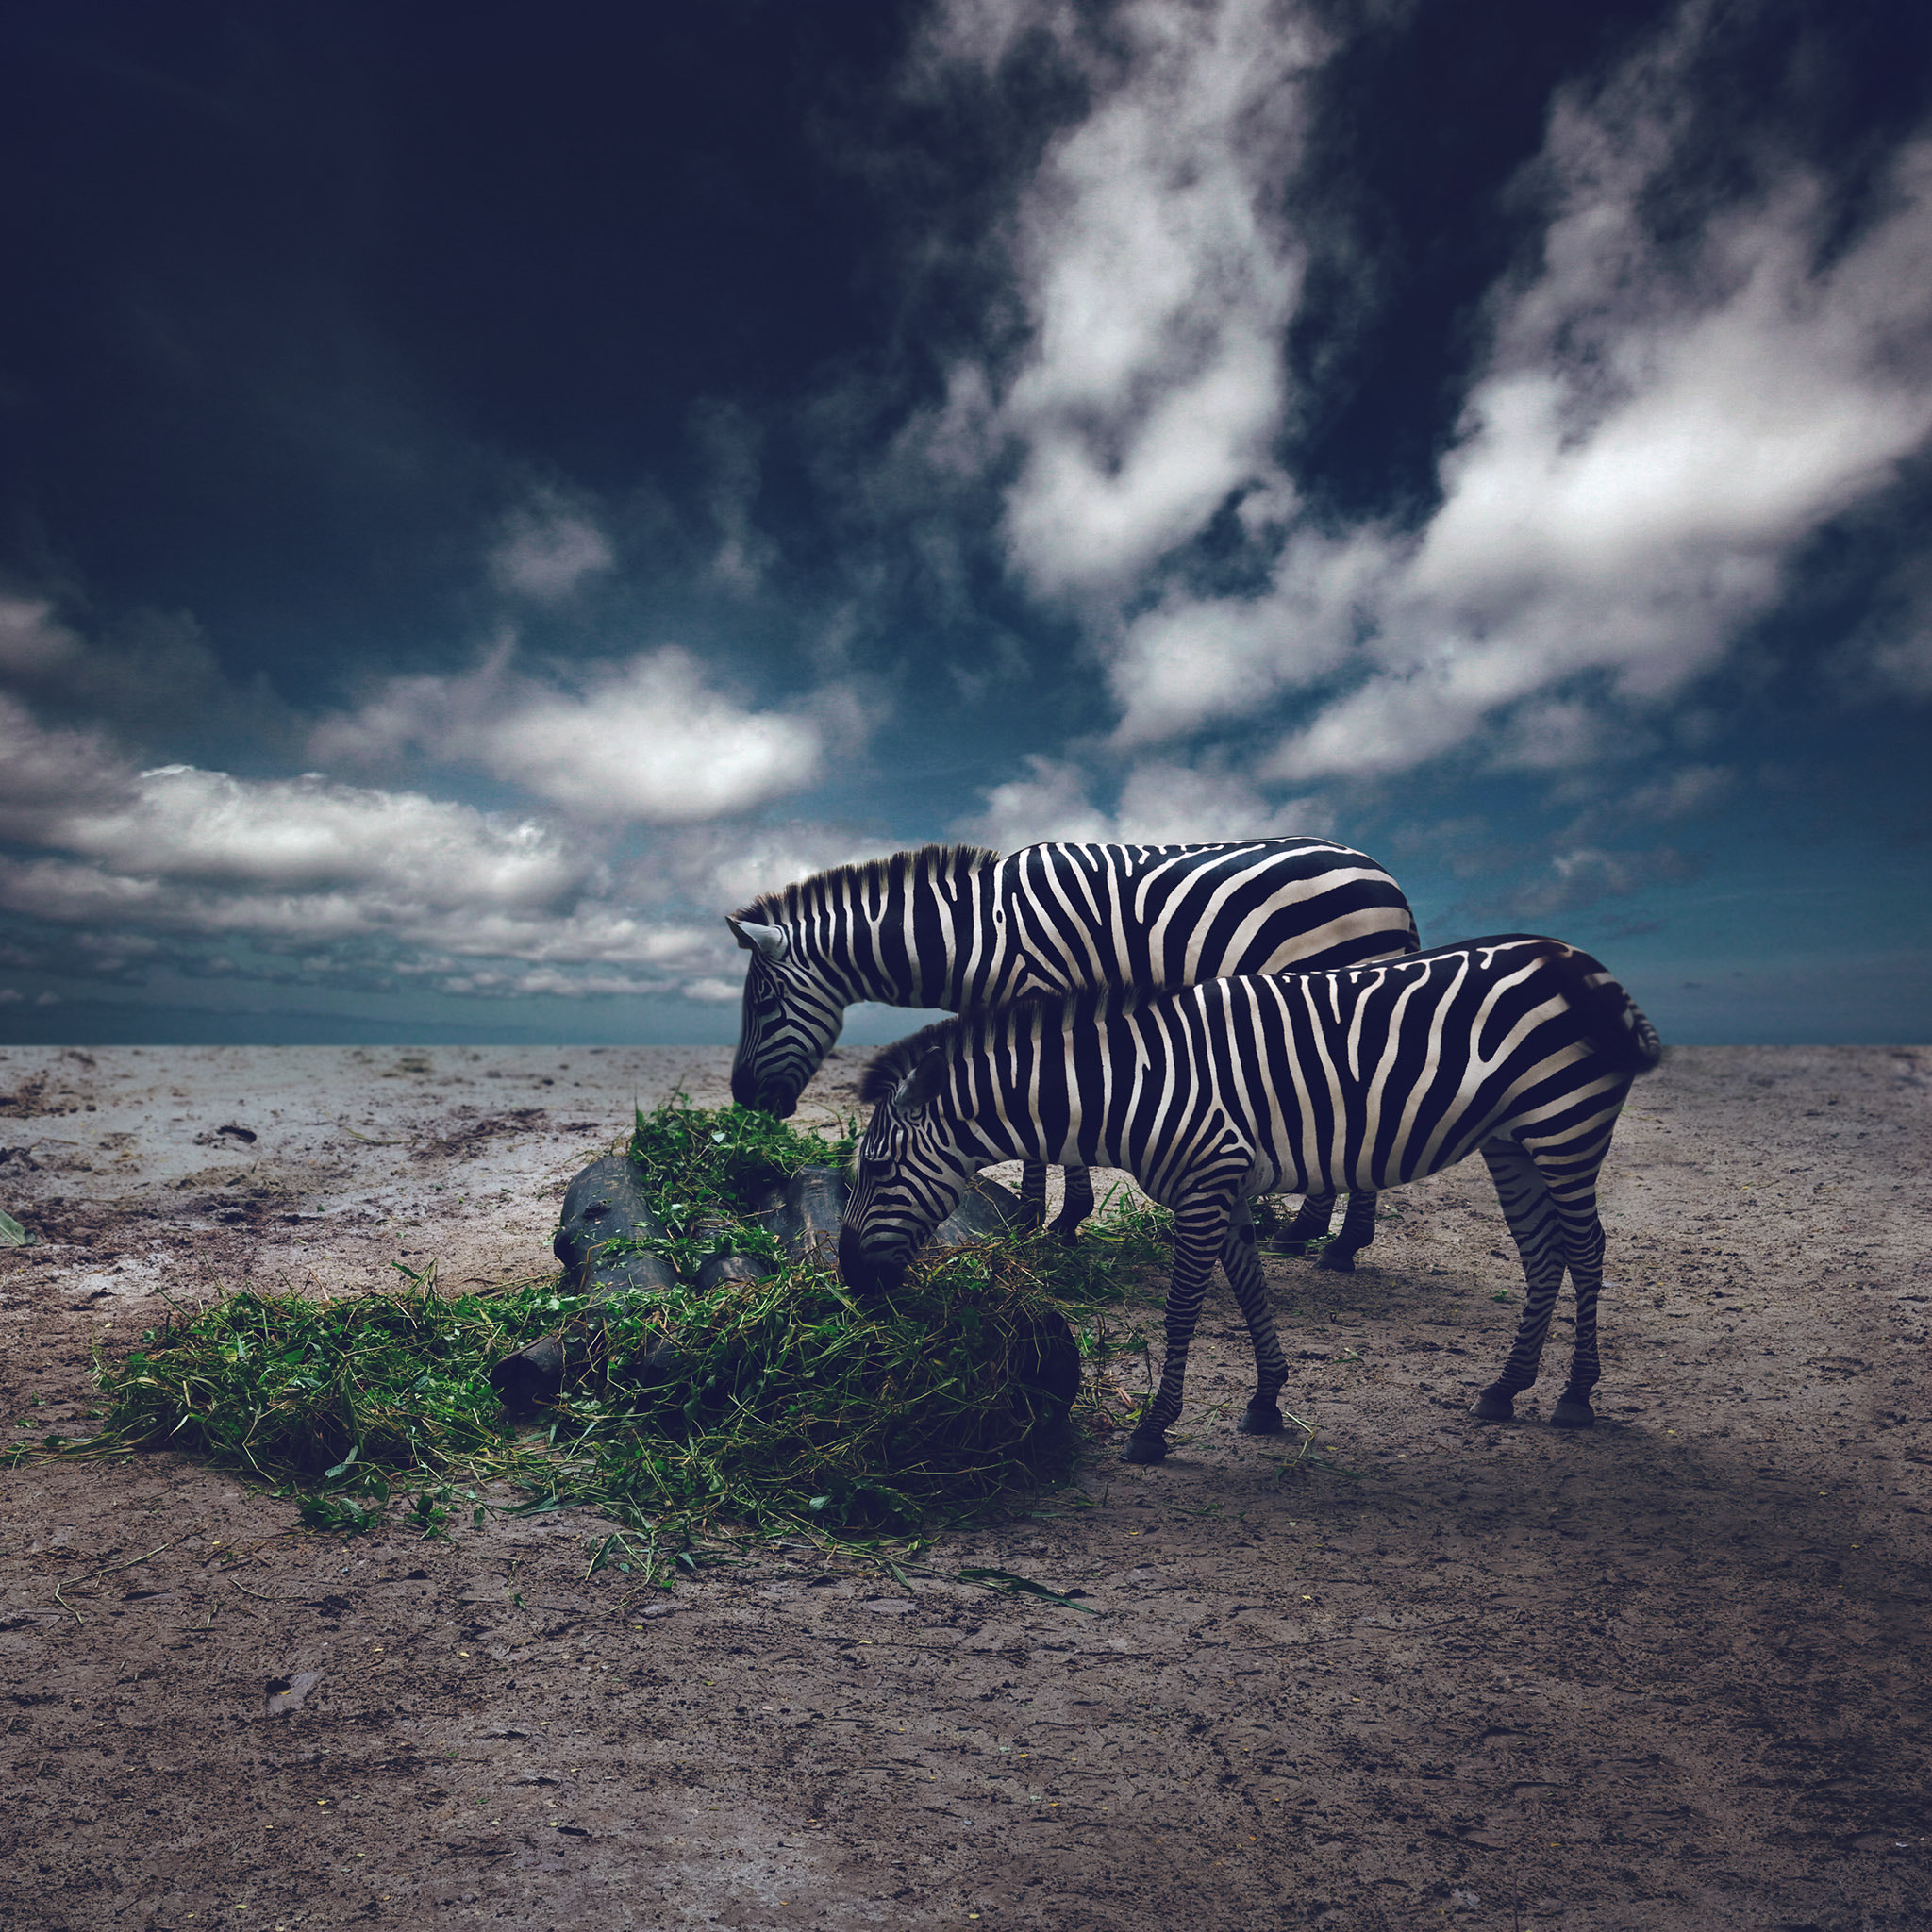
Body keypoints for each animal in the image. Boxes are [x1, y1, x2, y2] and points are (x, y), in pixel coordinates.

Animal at [727, 840, 1418, 1259]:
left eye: (762, 1003)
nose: (743, 1099)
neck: (976, 934)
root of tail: (1382, 873)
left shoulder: (1039, 998)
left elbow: (1039, 1126)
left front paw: (1041, 1219)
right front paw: (1062, 1217)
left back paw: (1334, 1244)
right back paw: (1311, 1235)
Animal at [838, 935, 1662, 1464]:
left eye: (875, 1169)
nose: (850, 1280)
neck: (1132, 1085)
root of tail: (1582, 963)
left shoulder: (1207, 1179)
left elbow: (1183, 1309)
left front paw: (1153, 1430)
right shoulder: (1225, 1186)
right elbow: (1249, 1288)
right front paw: (1266, 1400)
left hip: (1565, 1121)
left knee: (1586, 1249)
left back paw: (1576, 1395)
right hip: (1512, 1139)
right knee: (1542, 1254)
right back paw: (1505, 1388)